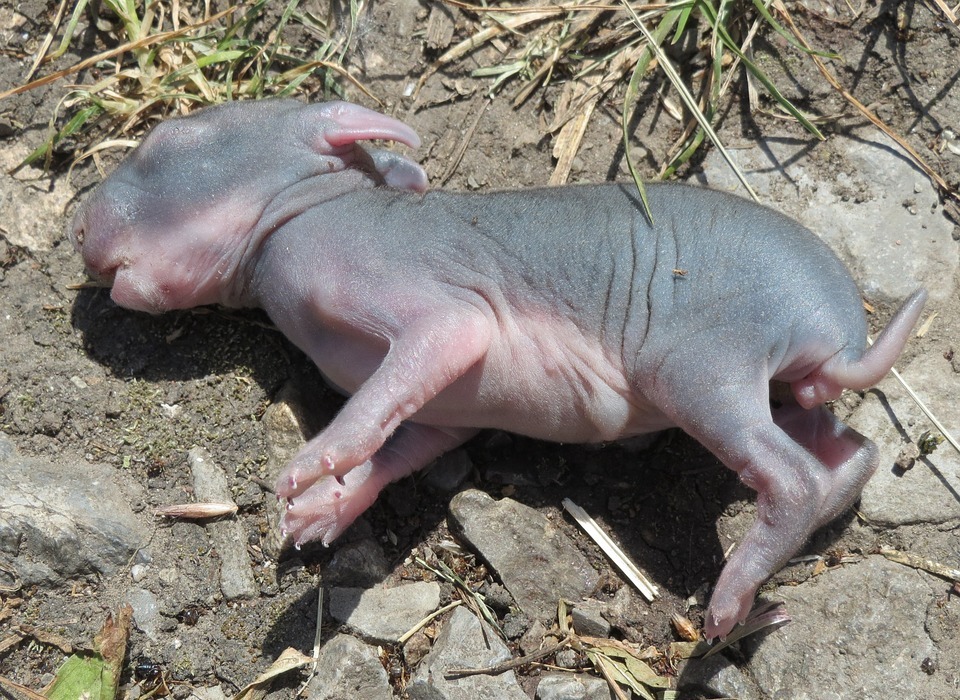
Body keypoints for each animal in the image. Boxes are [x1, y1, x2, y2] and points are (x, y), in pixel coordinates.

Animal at [71, 98, 928, 640]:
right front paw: (330, 506)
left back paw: (730, 598)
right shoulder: (445, 411)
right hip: (785, 388)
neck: (308, 209)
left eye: (164, 142)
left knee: (790, 474)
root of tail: (840, 332)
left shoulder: (426, 307)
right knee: (849, 450)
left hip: (704, 364)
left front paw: (314, 463)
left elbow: (408, 373)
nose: (78, 226)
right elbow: (410, 444)